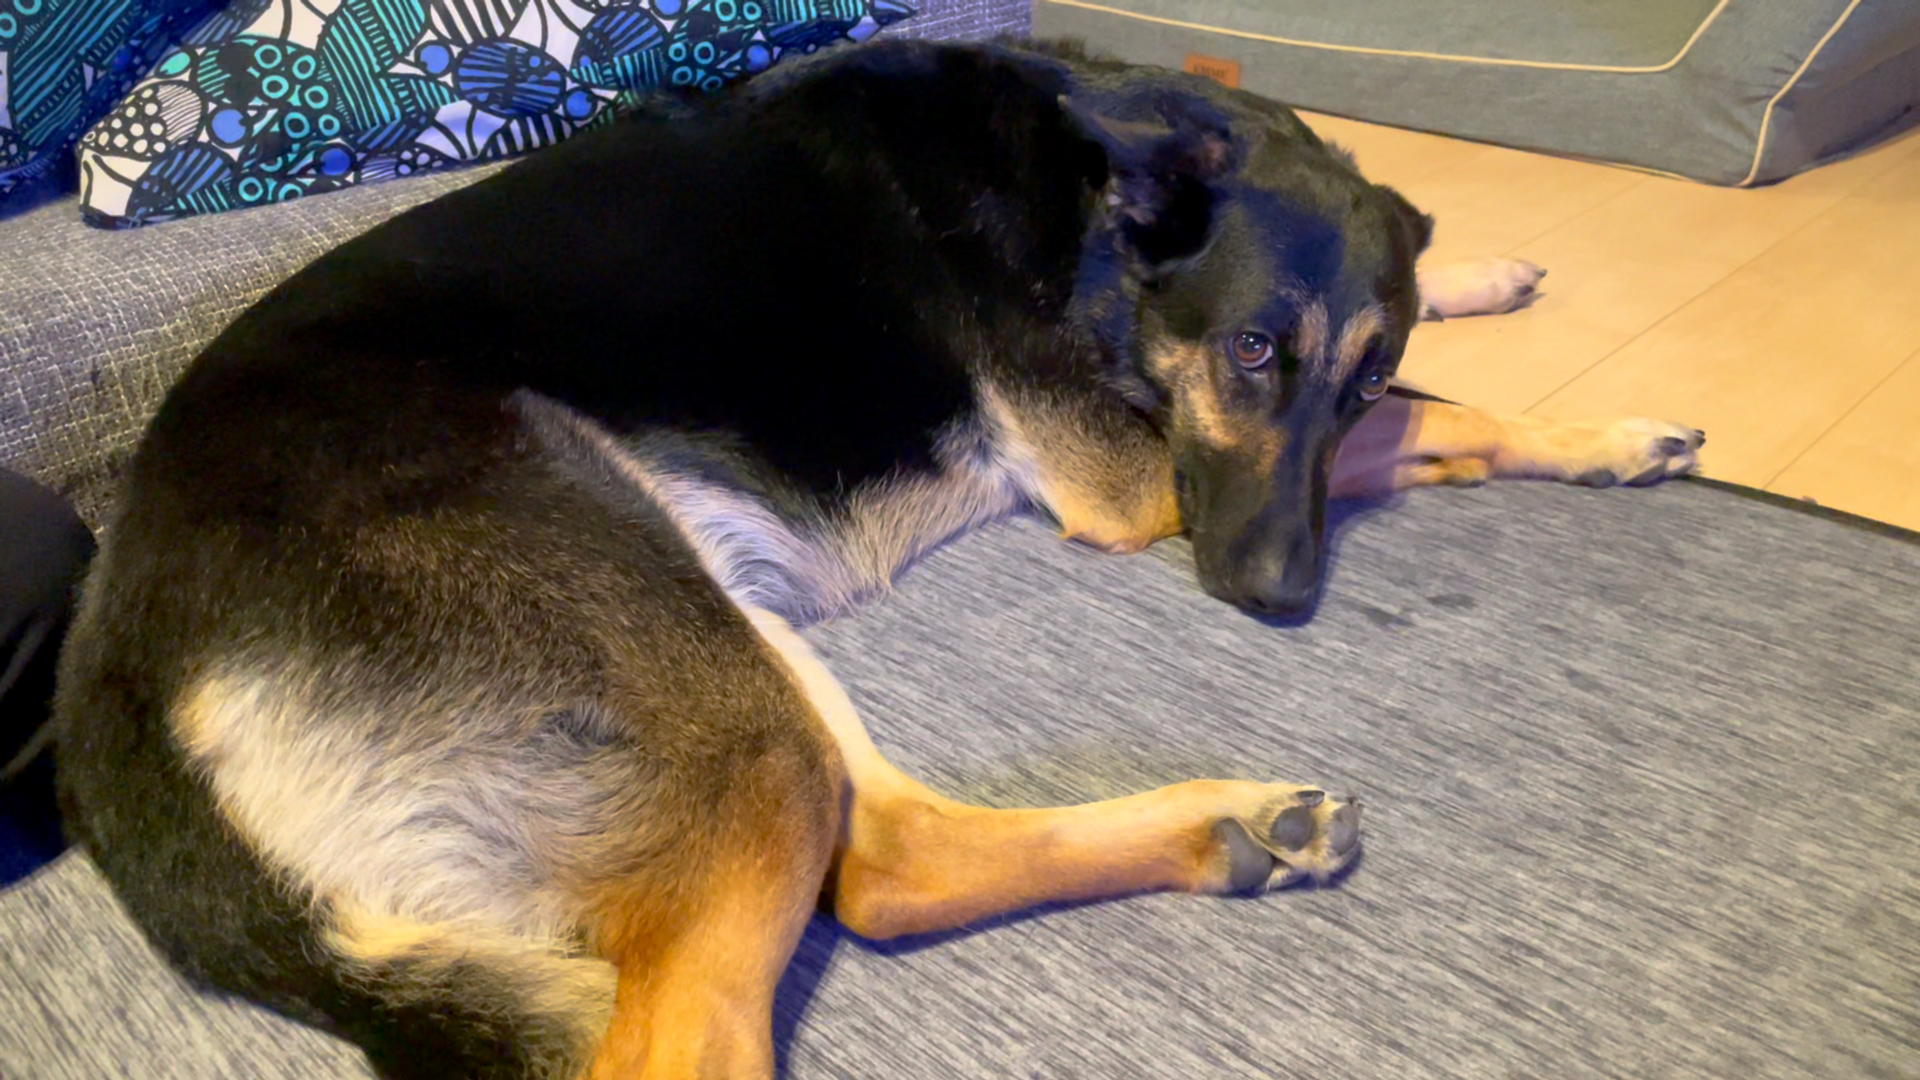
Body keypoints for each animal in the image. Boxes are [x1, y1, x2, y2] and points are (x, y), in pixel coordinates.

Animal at [55, 37, 1704, 1079]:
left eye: (1357, 374)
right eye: (1252, 353)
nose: (1276, 598)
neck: (1092, 197)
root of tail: (126, 734)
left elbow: (1437, 367)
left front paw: (1498, 287)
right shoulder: (1135, 482)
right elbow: (1449, 420)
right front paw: (1604, 422)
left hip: (717, 612)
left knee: (892, 865)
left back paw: (1232, 828)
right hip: (681, 653)